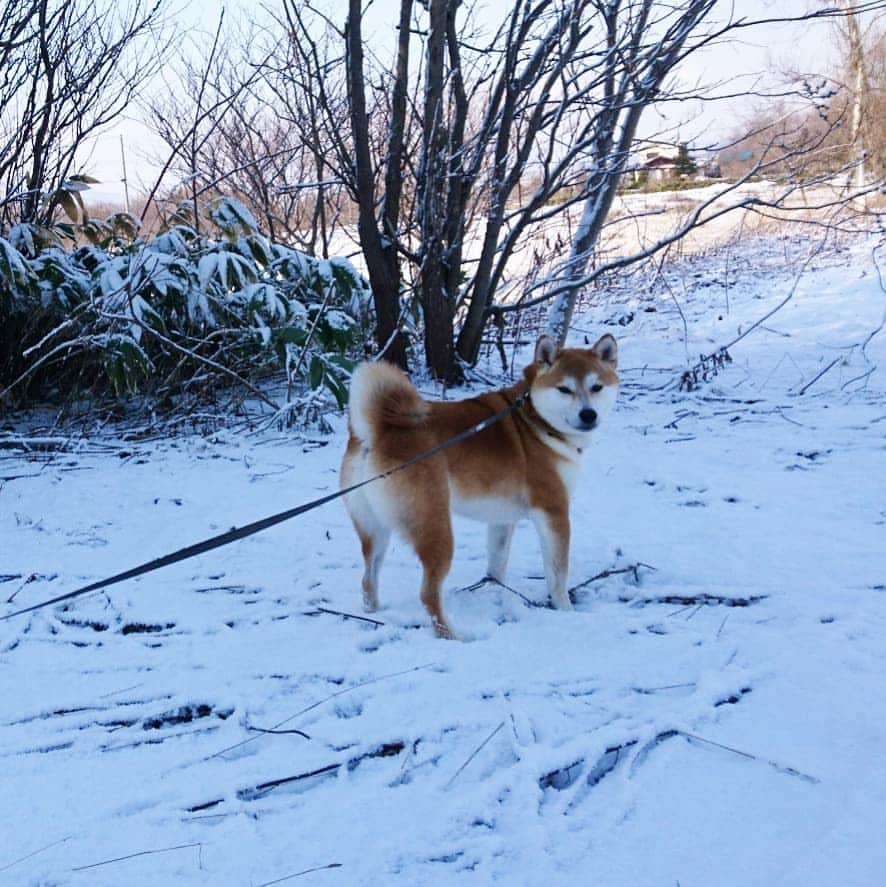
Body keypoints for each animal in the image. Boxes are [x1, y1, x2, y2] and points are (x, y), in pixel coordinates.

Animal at [340, 334, 616, 640]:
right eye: (564, 389)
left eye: (597, 387)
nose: (588, 414)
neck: (535, 419)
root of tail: (378, 431)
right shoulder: (553, 511)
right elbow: (558, 574)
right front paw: (565, 610)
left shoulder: (501, 520)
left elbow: (496, 566)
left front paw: (496, 593)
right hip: (436, 529)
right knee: (428, 594)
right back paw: (453, 635)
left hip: (375, 529)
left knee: (368, 578)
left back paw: (375, 612)